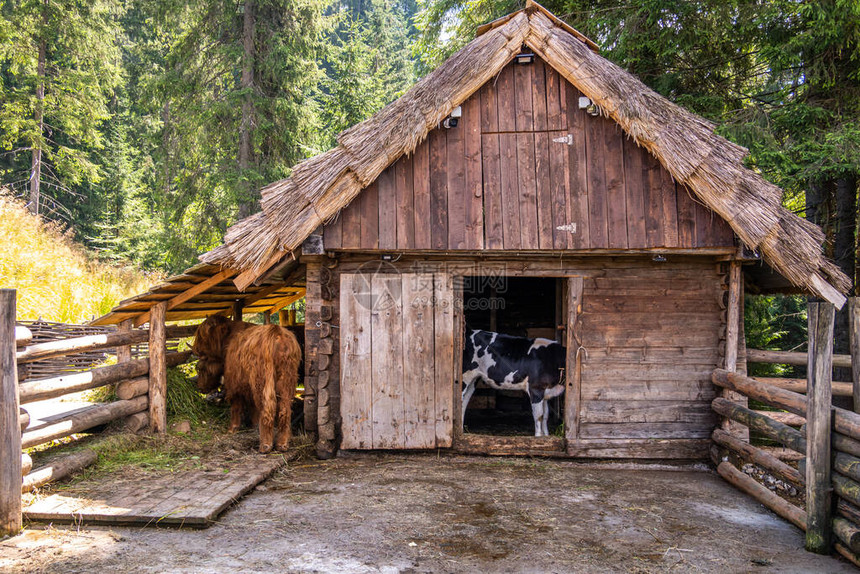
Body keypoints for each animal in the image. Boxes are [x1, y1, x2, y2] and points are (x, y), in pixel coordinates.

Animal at [192, 316, 302, 454]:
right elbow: (252, 406)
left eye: (200, 369)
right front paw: (253, 425)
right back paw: (282, 444)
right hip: (287, 379)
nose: (200, 387)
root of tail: (275, 331)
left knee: (267, 408)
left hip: (262, 380)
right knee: (285, 409)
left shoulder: (234, 383)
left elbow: (236, 406)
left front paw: (232, 429)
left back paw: (265, 445)